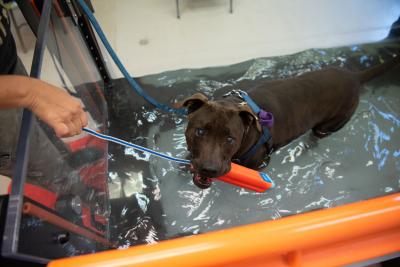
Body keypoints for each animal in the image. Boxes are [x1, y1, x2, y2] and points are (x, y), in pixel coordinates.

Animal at [180, 57, 398, 186]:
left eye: (230, 139)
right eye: (200, 132)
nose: (209, 169)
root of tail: (354, 76)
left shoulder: (257, 165)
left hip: (329, 124)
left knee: (315, 138)